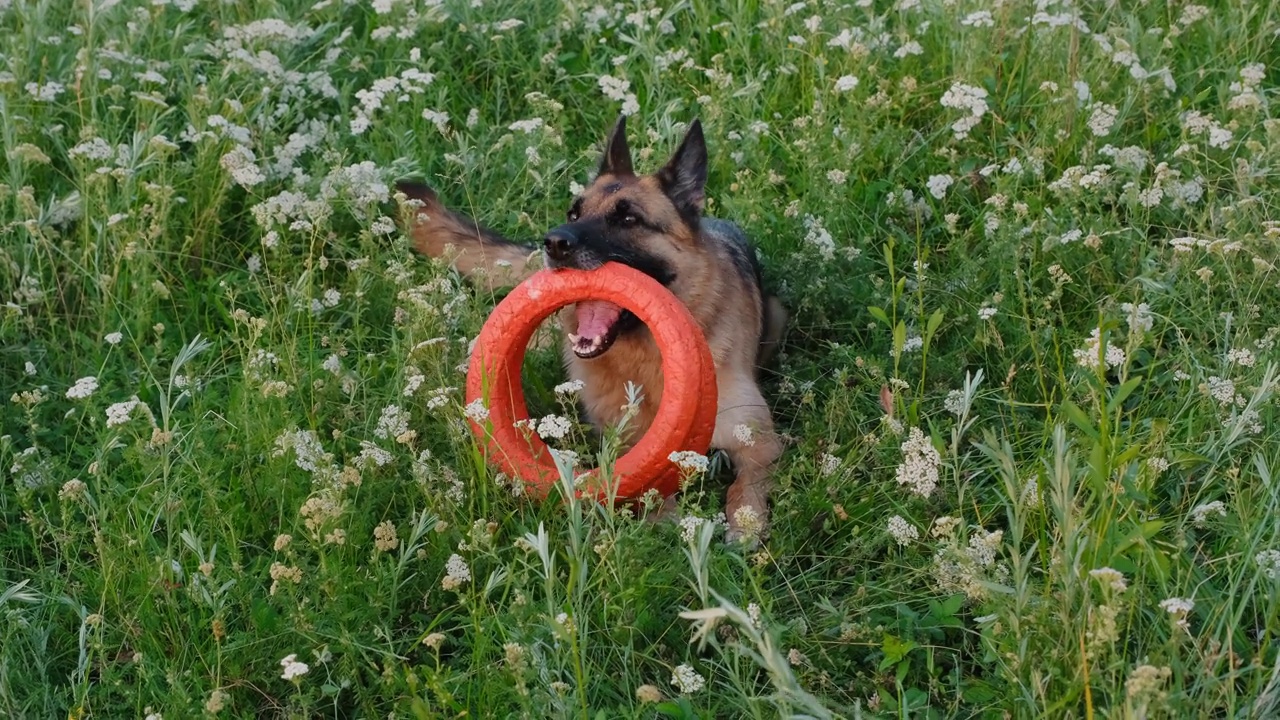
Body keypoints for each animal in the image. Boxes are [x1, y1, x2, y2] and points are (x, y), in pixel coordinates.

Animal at [394, 114, 783, 540]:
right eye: (573, 214)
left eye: (628, 219)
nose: (552, 243)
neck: (648, 361)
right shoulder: (624, 444)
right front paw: (661, 517)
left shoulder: (759, 443)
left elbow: (745, 484)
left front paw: (745, 525)